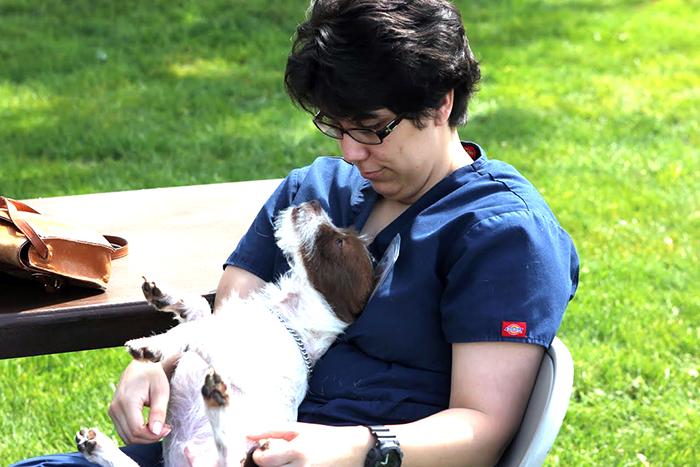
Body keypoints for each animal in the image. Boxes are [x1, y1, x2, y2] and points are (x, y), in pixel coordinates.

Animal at [75, 201, 378, 467]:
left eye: (339, 242)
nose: (315, 201)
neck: (285, 315)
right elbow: (199, 309)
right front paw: (165, 295)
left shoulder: (231, 358)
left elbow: (192, 330)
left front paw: (153, 345)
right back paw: (99, 447)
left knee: (229, 454)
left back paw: (215, 400)